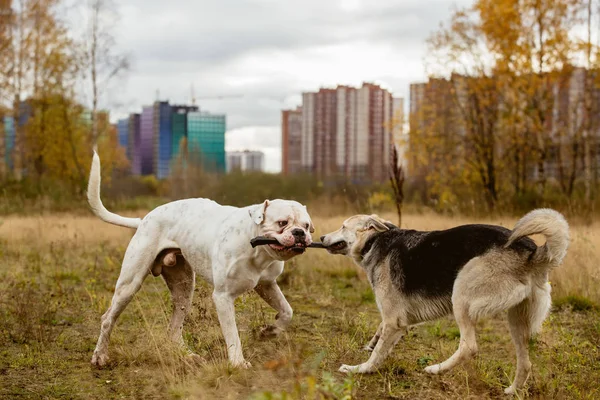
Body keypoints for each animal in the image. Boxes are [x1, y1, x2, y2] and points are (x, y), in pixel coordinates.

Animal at [88, 152, 316, 368]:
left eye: (306, 225)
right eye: (282, 223)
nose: (299, 233)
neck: (258, 251)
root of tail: (144, 219)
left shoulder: (266, 285)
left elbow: (287, 311)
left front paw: (271, 331)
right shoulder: (223, 297)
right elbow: (233, 335)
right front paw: (238, 363)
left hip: (184, 289)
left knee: (174, 330)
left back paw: (188, 357)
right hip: (130, 284)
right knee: (107, 319)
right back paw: (100, 356)